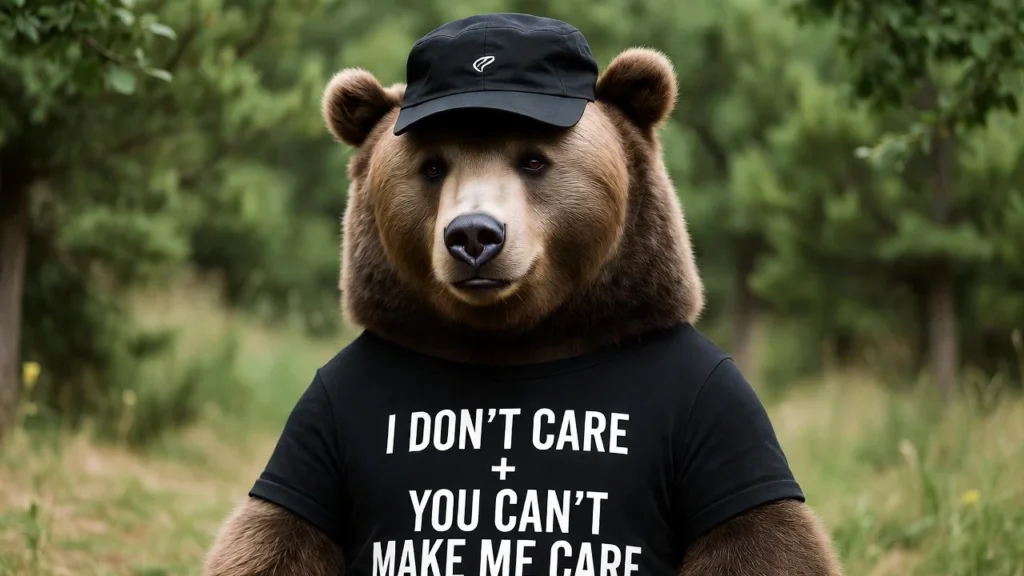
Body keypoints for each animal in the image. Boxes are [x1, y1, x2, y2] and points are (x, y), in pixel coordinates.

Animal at [203, 13, 843, 576]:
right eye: (431, 167)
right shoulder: (326, 410)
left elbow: (761, 538)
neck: (516, 338)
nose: (474, 236)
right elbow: (277, 534)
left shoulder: (717, 407)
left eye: (534, 159)